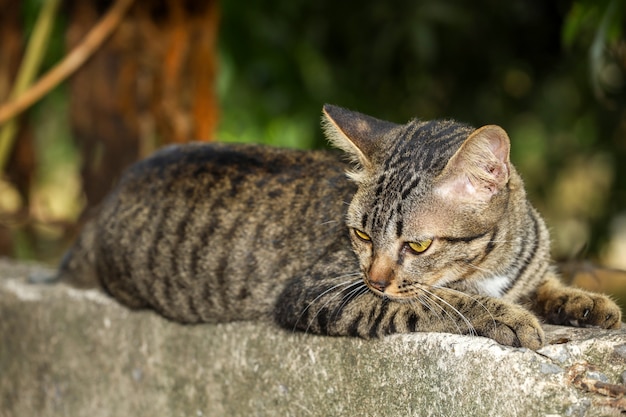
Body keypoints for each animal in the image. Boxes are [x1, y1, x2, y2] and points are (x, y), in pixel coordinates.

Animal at [57, 103, 620, 348]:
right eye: (362, 235)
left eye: (418, 244)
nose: (374, 277)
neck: (489, 265)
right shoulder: (320, 291)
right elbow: (431, 304)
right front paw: (505, 316)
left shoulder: (529, 269)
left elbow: (547, 285)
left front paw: (587, 304)